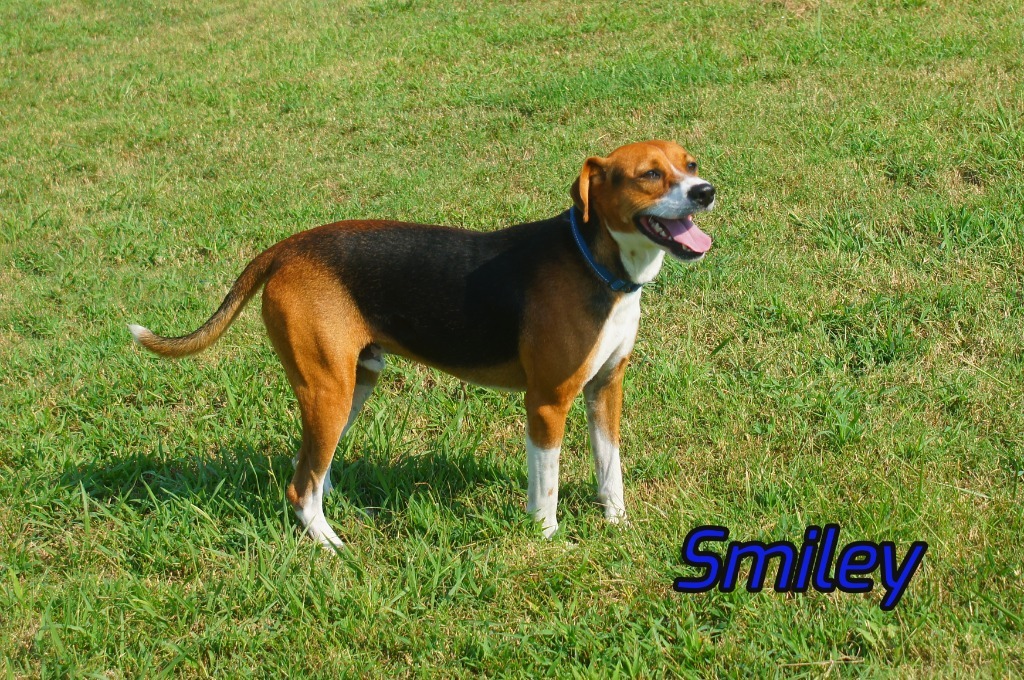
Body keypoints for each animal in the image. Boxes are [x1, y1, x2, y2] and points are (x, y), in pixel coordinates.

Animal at [128, 138, 716, 548]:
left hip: (355, 382)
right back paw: (329, 543)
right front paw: (548, 539)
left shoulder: (605, 389)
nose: (706, 190)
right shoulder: (547, 402)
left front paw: (618, 523)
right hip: (328, 388)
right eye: (649, 175)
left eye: (689, 164)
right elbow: (546, 486)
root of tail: (287, 247)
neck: (597, 264)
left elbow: (610, 468)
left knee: (312, 465)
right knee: (300, 486)